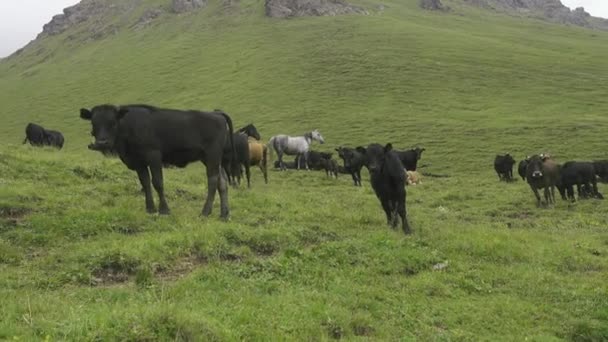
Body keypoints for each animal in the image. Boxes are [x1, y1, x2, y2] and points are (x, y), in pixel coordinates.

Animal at [79, 103, 235, 219]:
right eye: (93, 123)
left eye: (112, 122)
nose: (101, 143)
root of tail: (216, 113)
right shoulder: (139, 162)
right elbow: (145, 183)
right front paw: (150, 209)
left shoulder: (153, 156)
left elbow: (157, 183)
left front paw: (164, 210)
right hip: (210, 159)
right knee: (222, 182)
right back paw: (224, 214)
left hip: (212, 155)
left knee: (212, 181)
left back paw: (205, 212)